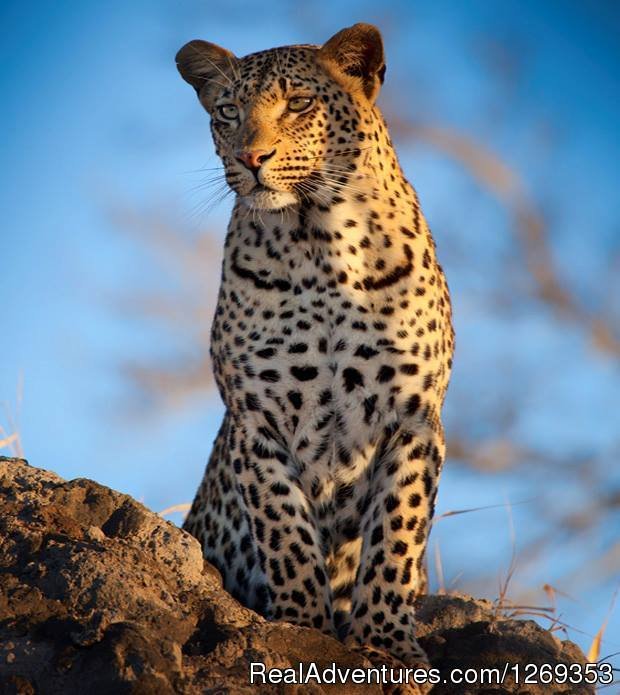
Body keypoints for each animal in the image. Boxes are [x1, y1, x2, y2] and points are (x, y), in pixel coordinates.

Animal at [176, 23, 456, 676]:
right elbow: (285, 527)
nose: (251, 159)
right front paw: (301, 626)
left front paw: (385, 641)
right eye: (227, 112)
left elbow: (396, 534)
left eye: (300, 104)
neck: (318, 243)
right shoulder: (256, 418)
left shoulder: (415, 418)